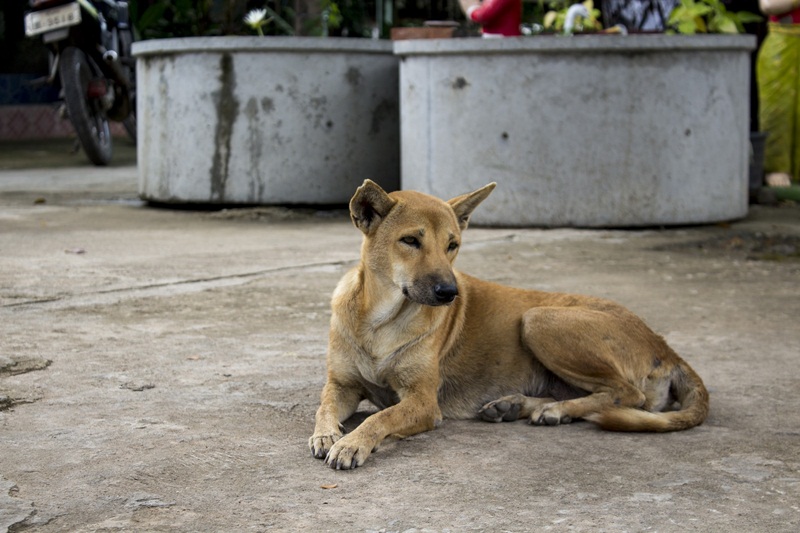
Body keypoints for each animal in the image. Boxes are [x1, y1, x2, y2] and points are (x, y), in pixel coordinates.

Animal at [310, 181, 708, 468]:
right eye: (410, 240)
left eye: (453, 245)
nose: (450, 292)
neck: (380, 321)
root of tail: (665, 347)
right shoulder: (342, 386)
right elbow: (324, 406)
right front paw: (326, 434)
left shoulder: (422, 402)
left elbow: (380, 418)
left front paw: (353, 442)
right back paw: (518, 406)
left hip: (539, 319)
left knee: (628, 394)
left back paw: (556, 410)